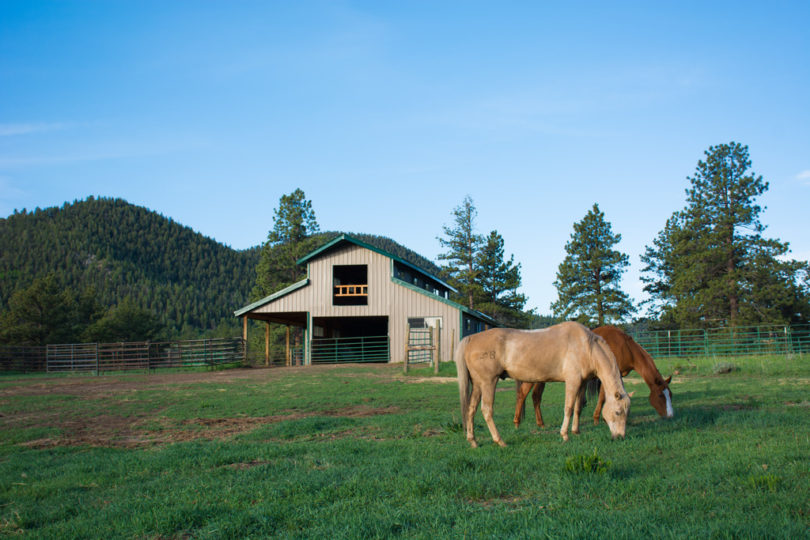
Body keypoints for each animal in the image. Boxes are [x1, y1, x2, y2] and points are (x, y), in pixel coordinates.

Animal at [454, 320, 632, 448]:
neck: (586, 346)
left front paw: (576, 431)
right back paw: (500, 441)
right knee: (486, 410)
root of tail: (472, 338)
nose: (620, 437)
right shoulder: (572, 381)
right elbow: (568, 408)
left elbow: (577, 408)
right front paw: (564, 435)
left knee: (471, 409)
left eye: (626, 412)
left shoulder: (581, 384)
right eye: (618, 412)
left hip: (478, 385)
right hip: (488, 383)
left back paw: (473, 441)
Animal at [516, 324, 672, 430]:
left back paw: (539, 423)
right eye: (660, 395)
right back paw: (518, 423)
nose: (670, 416)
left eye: (670, 395)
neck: (625, 346)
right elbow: (602, 396)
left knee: (534, 397)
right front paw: (598, 419)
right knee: (524, 394)